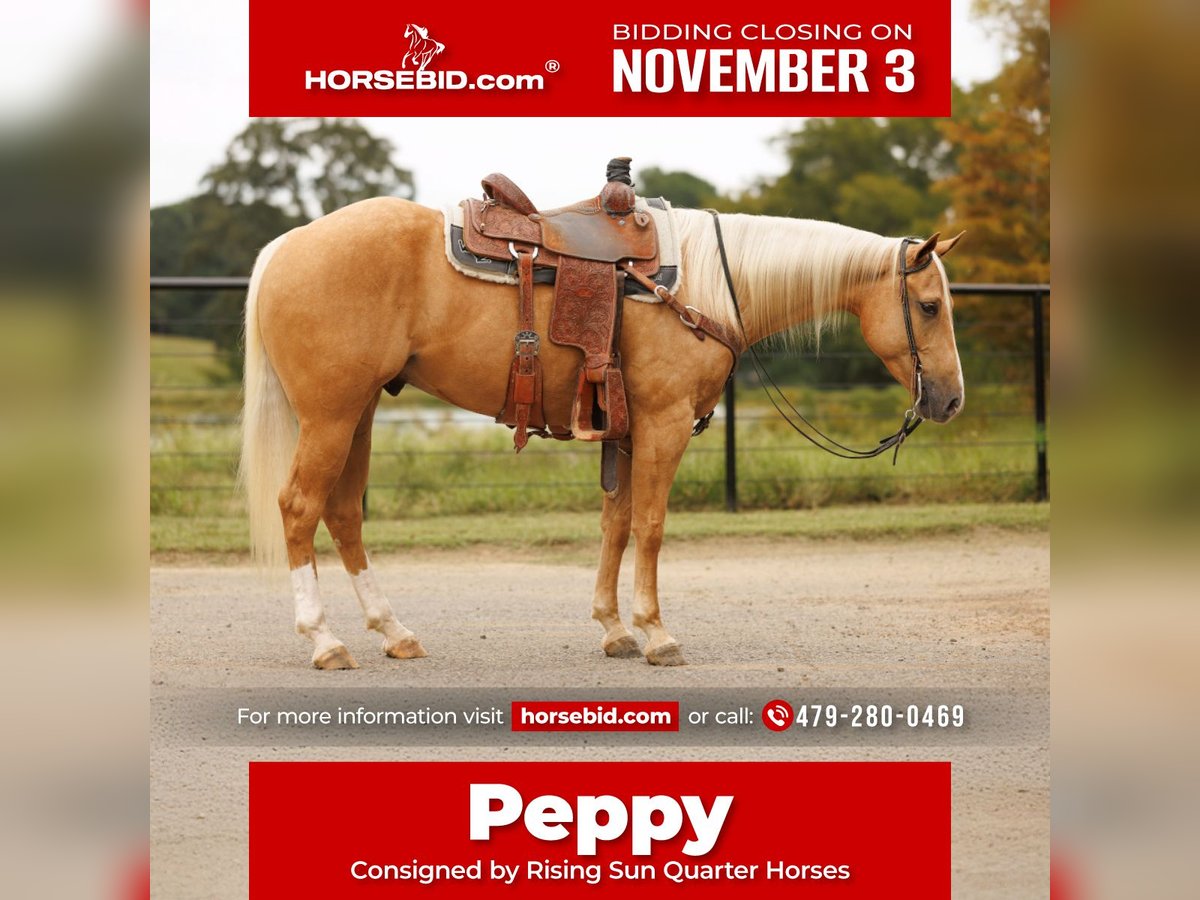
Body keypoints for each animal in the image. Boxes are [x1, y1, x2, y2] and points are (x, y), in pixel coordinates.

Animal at [240, 197, 965, 669]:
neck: (708, 284)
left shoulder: (628, 431)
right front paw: (656, 632)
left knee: (343, 512)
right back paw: (325, 641)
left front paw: (614, 629)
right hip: (332, 415)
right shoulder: (665, 423)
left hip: (357, 412)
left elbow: (615, 524)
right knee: (300, 507)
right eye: (929, 306)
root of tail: (288, 243)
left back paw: (394, 632)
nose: (951, 398)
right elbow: (650, 524)